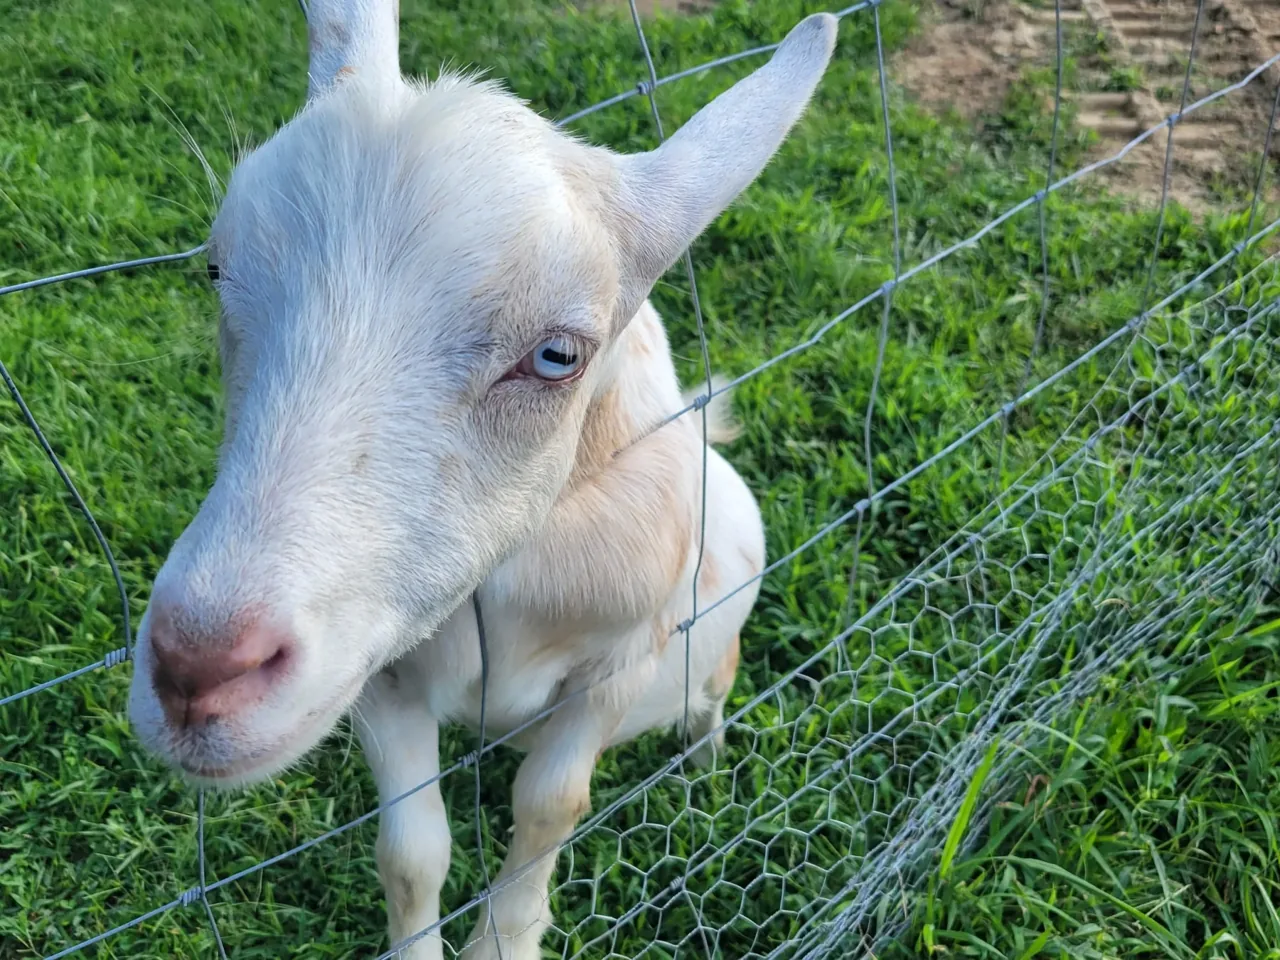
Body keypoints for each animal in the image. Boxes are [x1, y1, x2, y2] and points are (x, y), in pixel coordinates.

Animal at [125, 3, 837, 957]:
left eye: (558, 354)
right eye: (215, 267)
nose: (197, 672)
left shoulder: (622, 658)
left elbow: (550, 805)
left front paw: (507, 938)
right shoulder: (376, 673)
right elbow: (412, 850)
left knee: (714, 686)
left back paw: (704, 760)